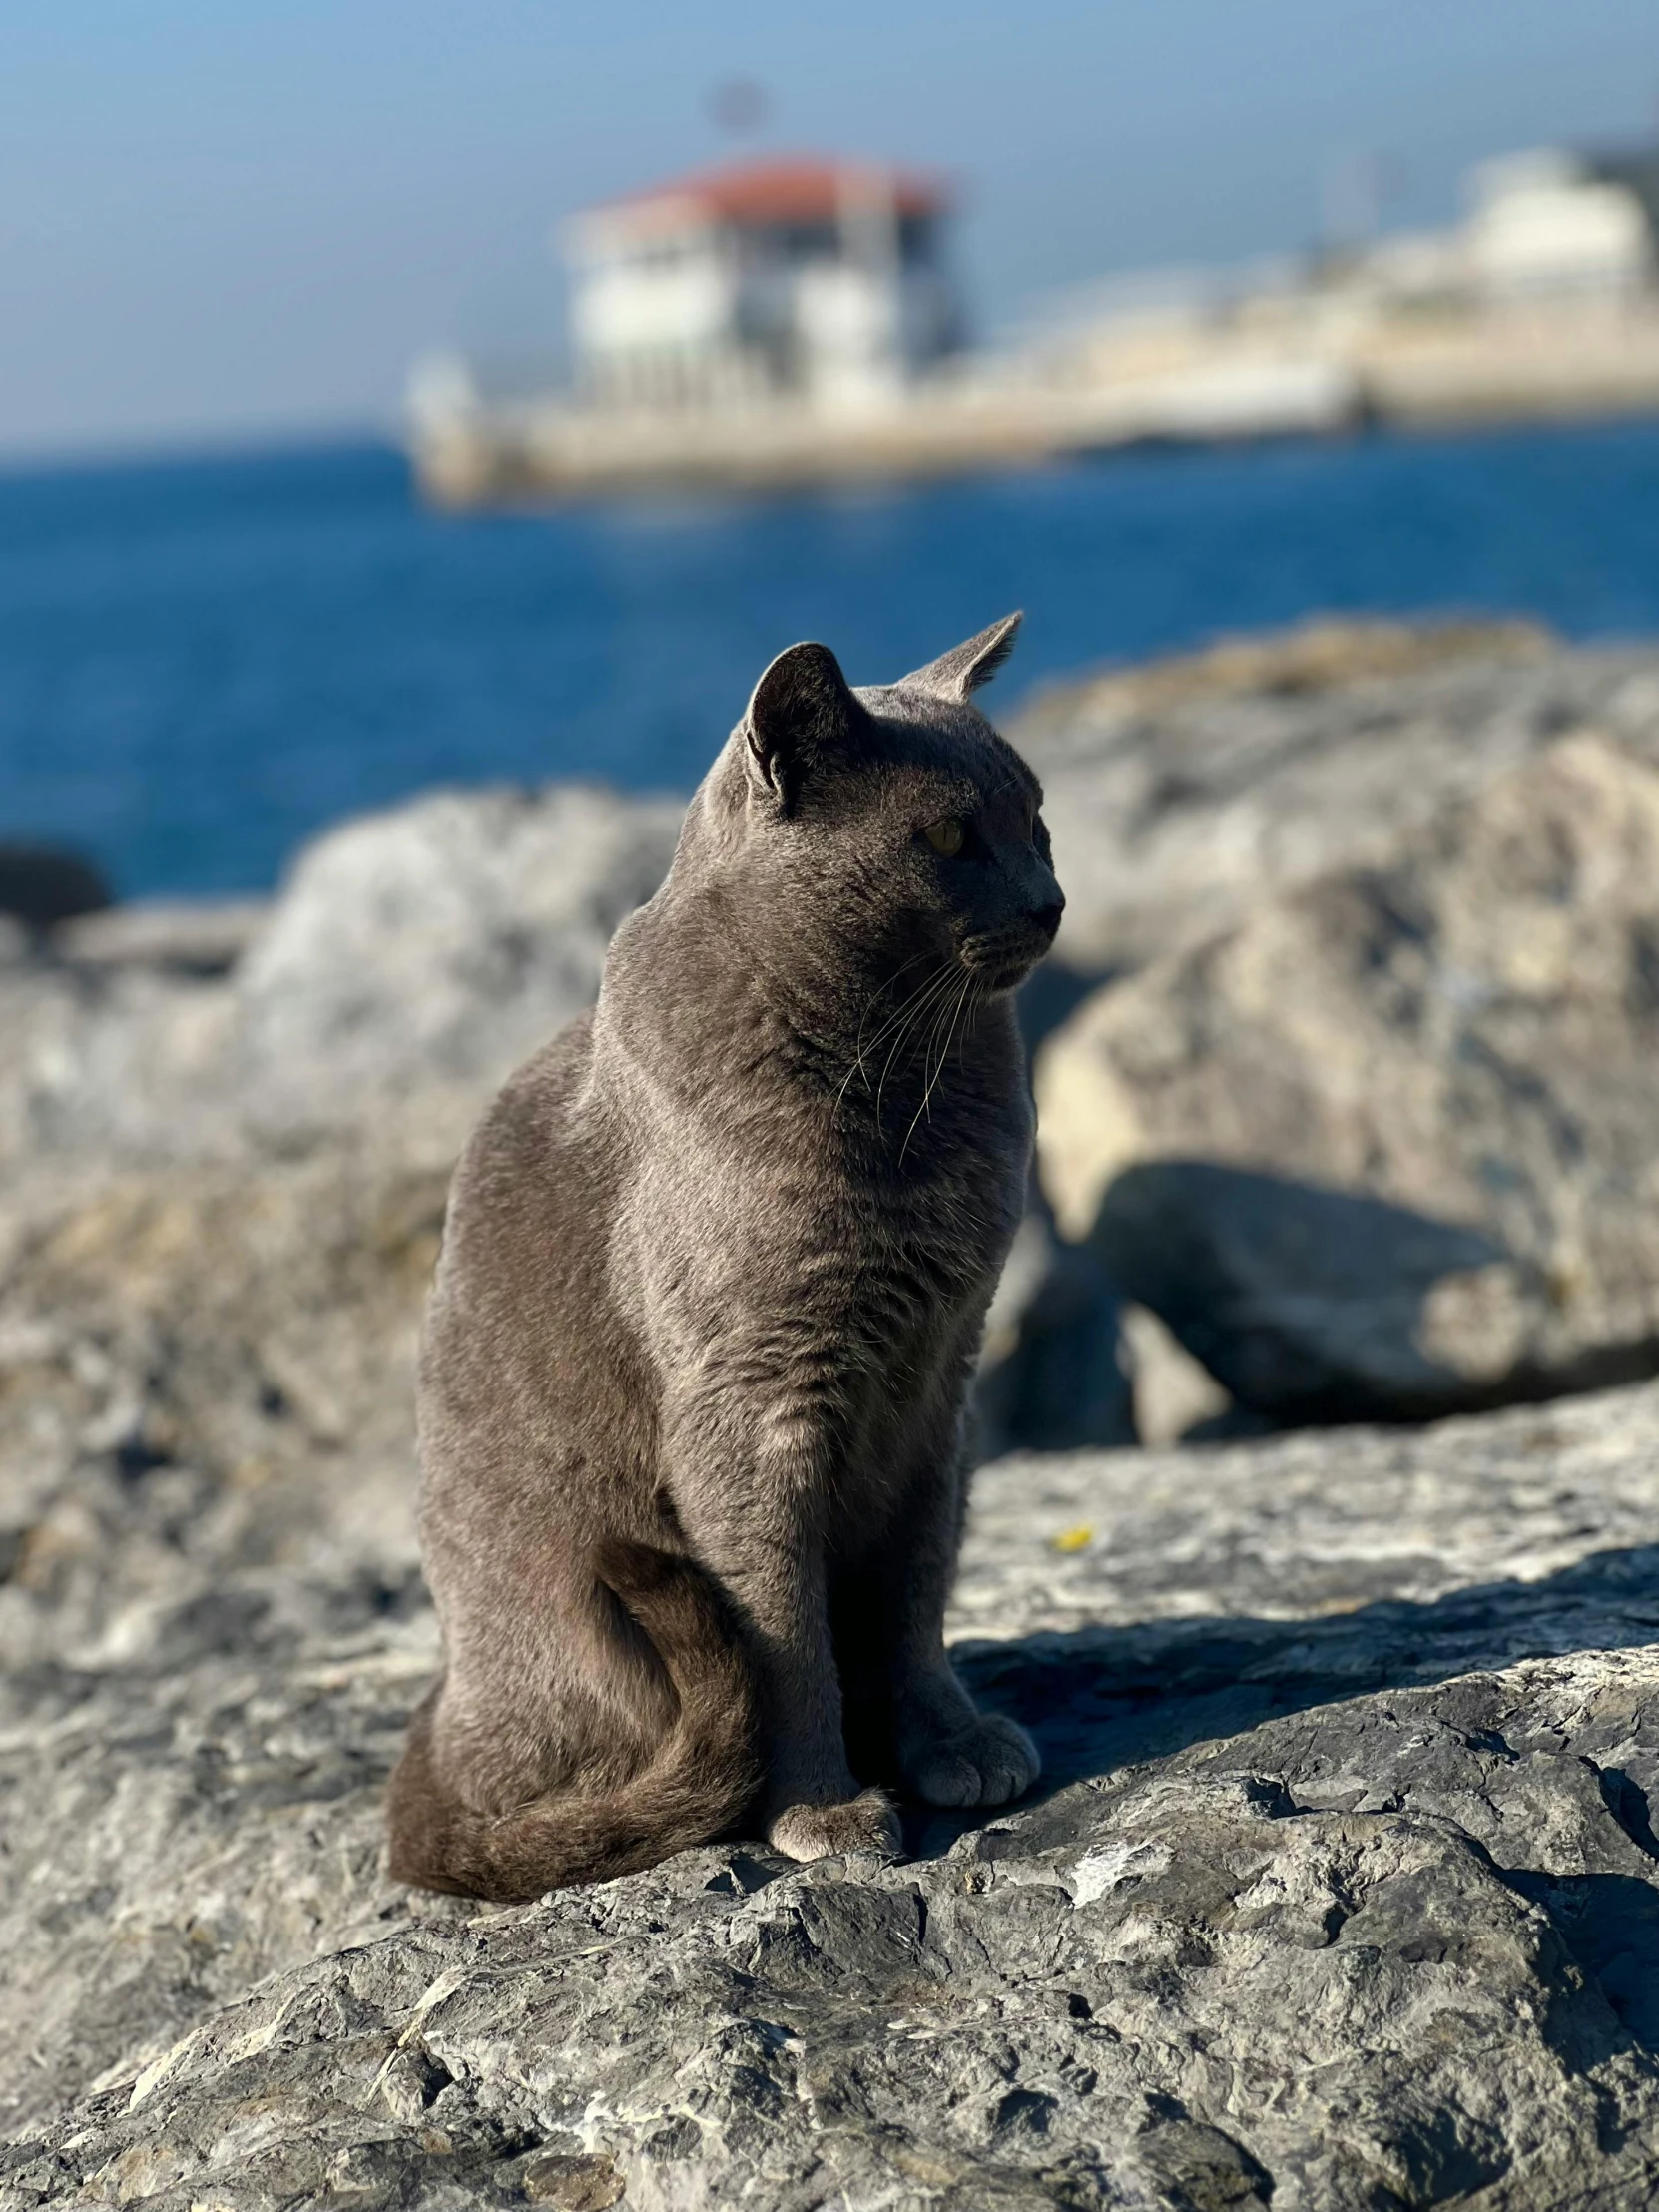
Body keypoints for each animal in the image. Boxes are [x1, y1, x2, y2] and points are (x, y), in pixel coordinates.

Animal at [389, 610, 1066, 1902]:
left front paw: (951, 1741)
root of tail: (441, 1723)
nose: (1051, 898)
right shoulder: (752, 1400)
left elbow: (912, 1594)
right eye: (948, 837)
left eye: (1038, 817)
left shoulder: (939, 1385)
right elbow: (784, 1627)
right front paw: (823, 1809)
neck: (911, 1088)